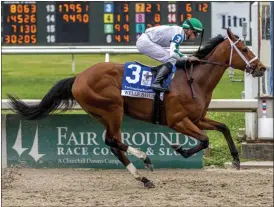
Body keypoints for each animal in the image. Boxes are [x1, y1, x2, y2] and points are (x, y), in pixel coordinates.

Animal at [8, 28, 266, 188]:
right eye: (244, 49)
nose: (261, 68)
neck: (195, 80)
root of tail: (78, 77)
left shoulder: (197, 118)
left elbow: (222, 127)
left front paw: (236, 159)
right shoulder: (178, 121)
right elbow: (204, 140)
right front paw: (180, 149)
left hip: (102, 114)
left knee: (113, 144)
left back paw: (142, 178)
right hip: (112, 109)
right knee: (112, 140)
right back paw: (145, 159)